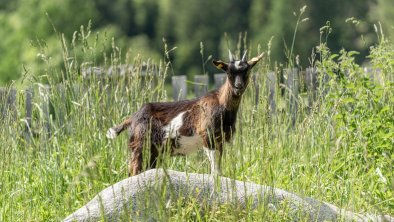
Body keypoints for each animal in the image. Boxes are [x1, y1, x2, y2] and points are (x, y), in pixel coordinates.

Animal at [106, 51, 264, 176]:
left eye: (247, 70)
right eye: (228, 72)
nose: (238, 87)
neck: (221, 103)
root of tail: (133, 117)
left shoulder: (220, 140)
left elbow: (218, 165)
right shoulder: (208, 136)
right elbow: (214, 167)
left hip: (153, 151)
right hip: (140, 145)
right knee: (134, 170)